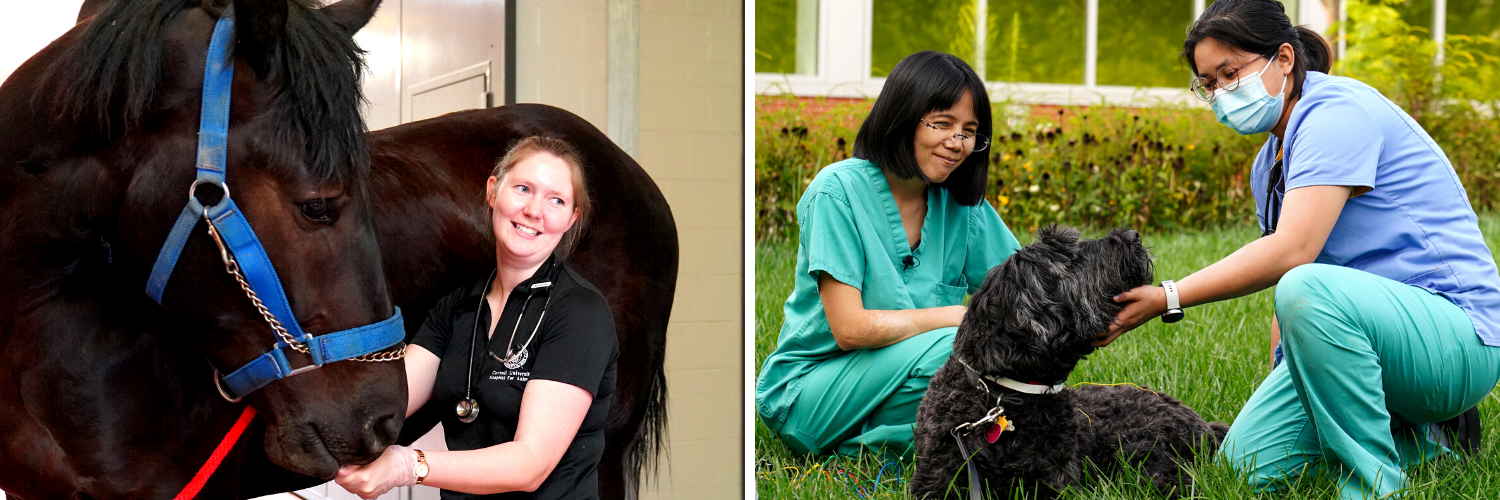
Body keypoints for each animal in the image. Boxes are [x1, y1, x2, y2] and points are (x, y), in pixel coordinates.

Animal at [912, 226, 1230, 498]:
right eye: (1068, 258)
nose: (1132, 235)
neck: (1006, 399)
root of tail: (1203, 424)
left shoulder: (1058, 482)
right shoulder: (935, 482)